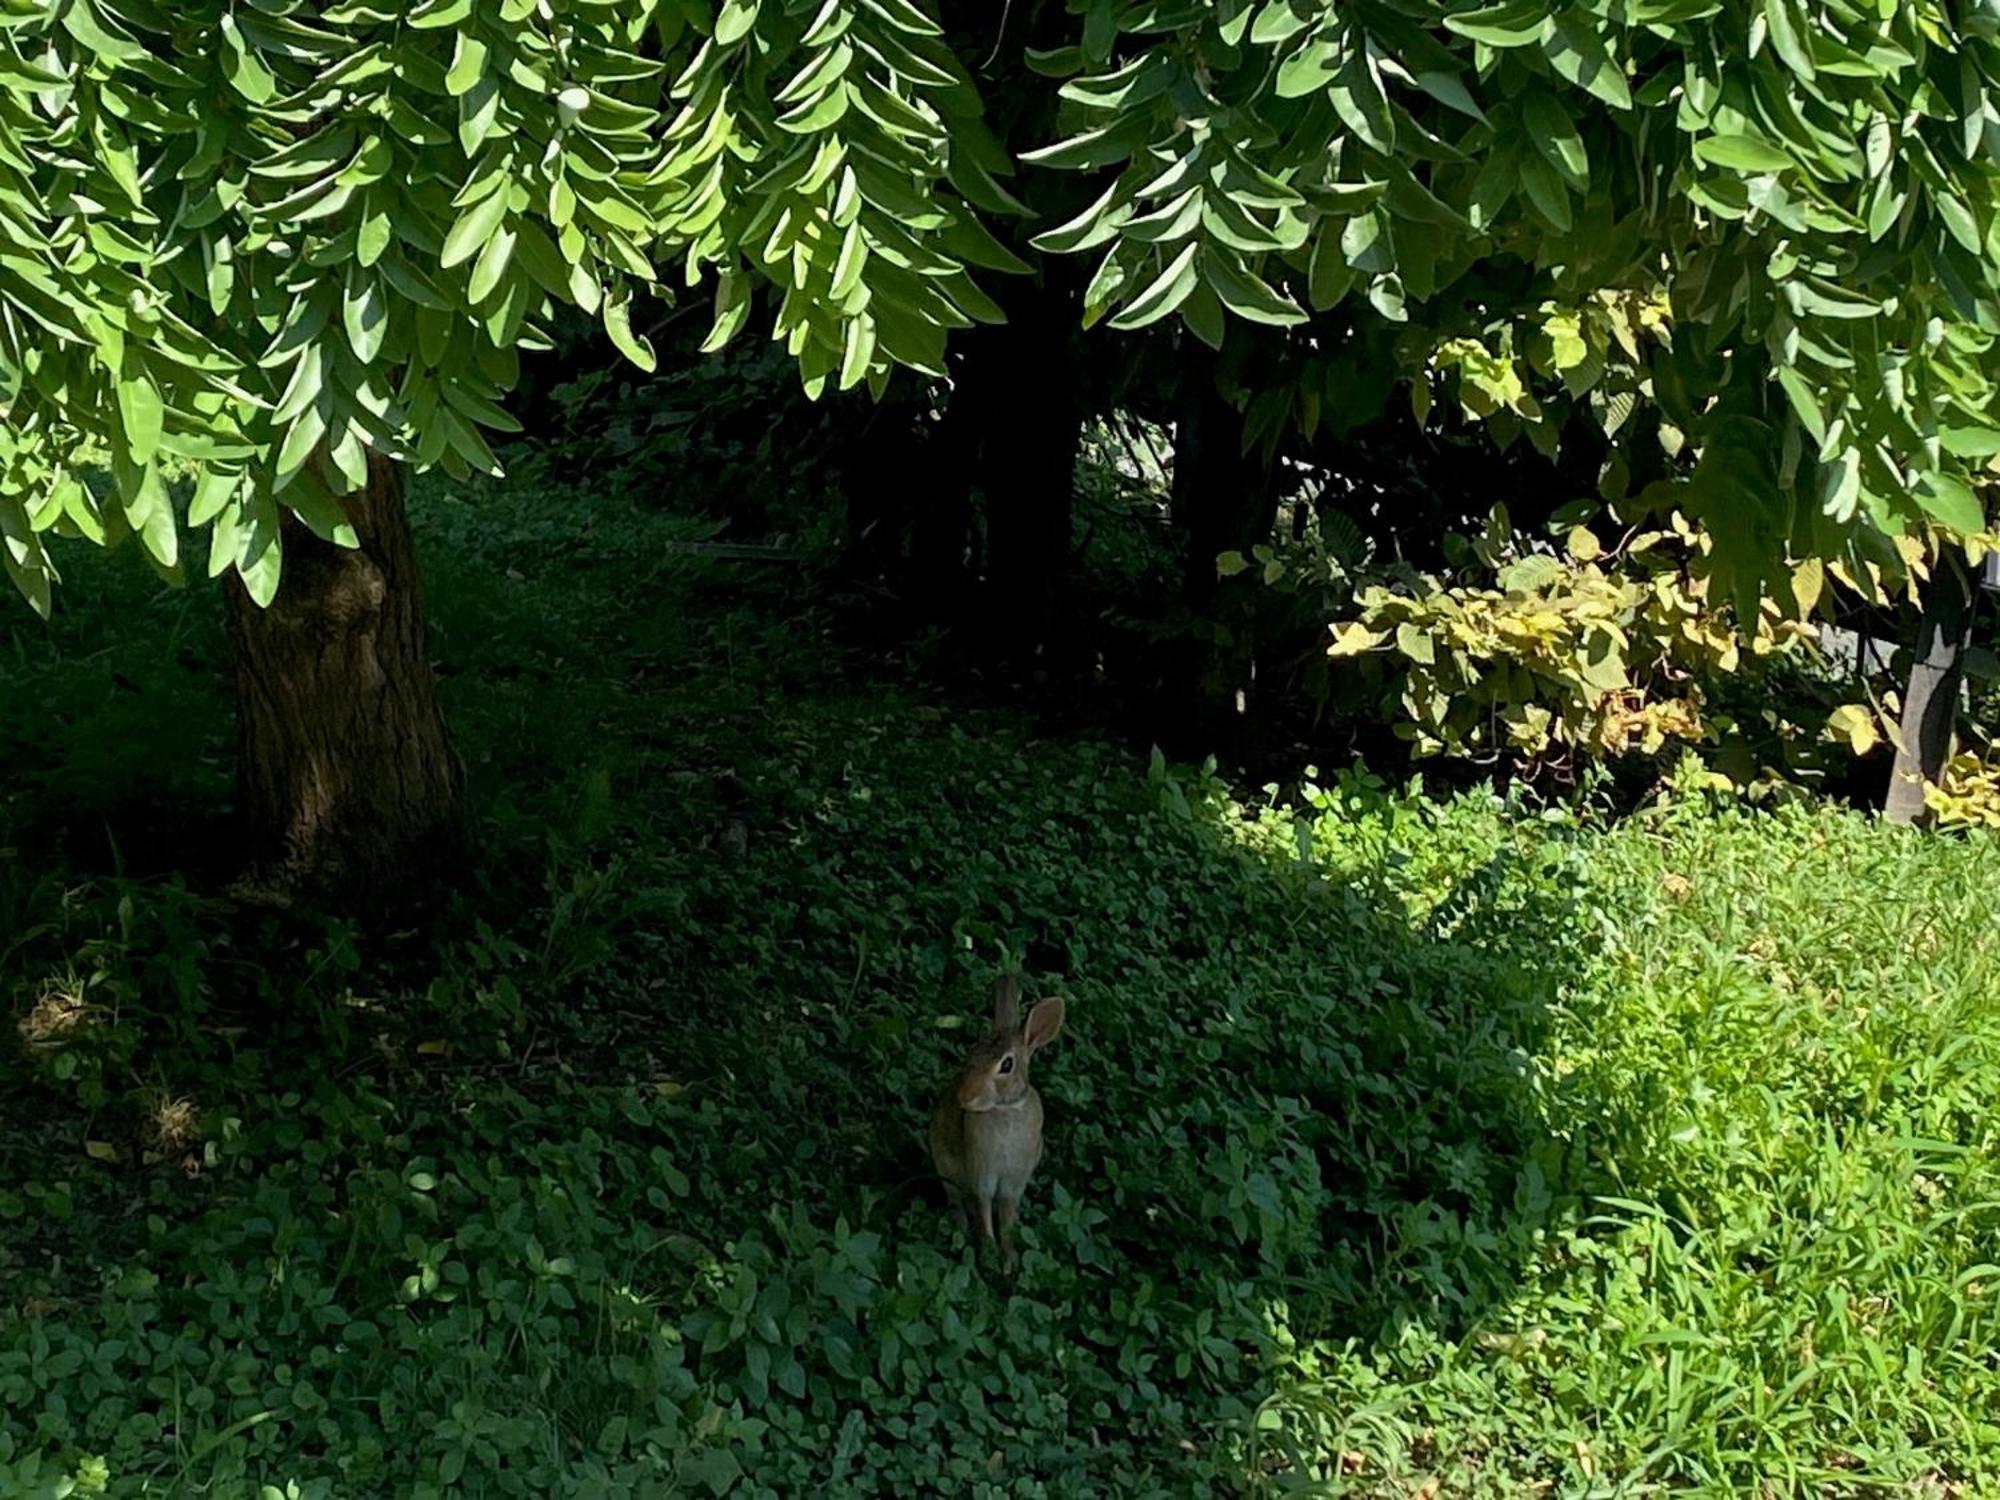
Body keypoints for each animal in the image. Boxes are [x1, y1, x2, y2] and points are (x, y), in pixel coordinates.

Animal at [932, 980, 1072, 1272]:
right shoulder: (982, 1175)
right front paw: (989, 1255)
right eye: (972, 1051)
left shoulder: (1013, 1183)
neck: (1006, 1109)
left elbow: (1007, 1218)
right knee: (956, 1200)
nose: (965, 1097)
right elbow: (984, 1211)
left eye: (1006, 1064)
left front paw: (1008, 1259)